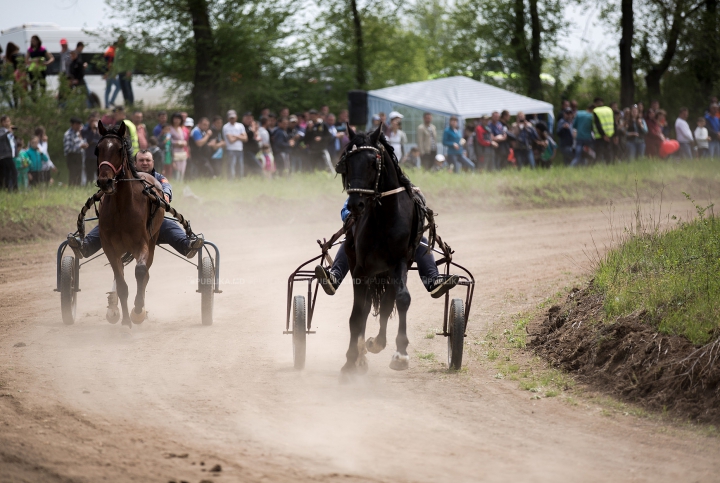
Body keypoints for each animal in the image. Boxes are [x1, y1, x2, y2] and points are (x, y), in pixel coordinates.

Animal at [94, 121, 163, 328]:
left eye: (119, 149)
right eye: (97, 149)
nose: (105, 181)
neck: (121, 207)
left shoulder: (141, 242)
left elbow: (141, 272)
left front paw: (138, 310)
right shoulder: (110, 246)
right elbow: (121, 282)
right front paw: (125, 320)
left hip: (153, 239)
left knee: (145, 272)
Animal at [334, 125, 420, 378]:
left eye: (374, 162)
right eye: (348, 162)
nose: (355, 205)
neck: (384, 218)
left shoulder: (399, 262)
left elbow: (401, 300)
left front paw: (400, 353)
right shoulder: (361, 270)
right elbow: (357, 315)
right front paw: (351, 359)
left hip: (387, 273)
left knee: (387, 303)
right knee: (364, 311)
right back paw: (360, 354)